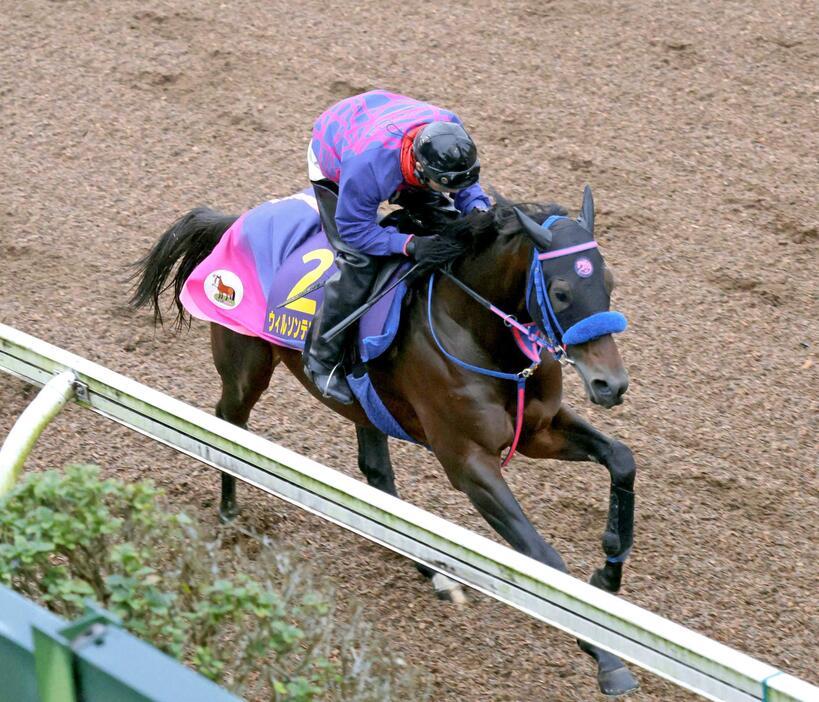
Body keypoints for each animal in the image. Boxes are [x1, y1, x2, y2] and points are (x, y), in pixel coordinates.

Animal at [131, 188, 640, 700]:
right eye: (561, 292)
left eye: (610, 281)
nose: (610, 384)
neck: (477, 331)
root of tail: (238, 220)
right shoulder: (469, 463)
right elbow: (545, 559)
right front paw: (607, 657)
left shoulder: (540, 429)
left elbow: (621, 459)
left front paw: (608, 571)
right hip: (246, 366)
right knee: (227, 424)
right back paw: (230, 514)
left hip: (364, 403)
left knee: (376, 475)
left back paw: (431, 570)